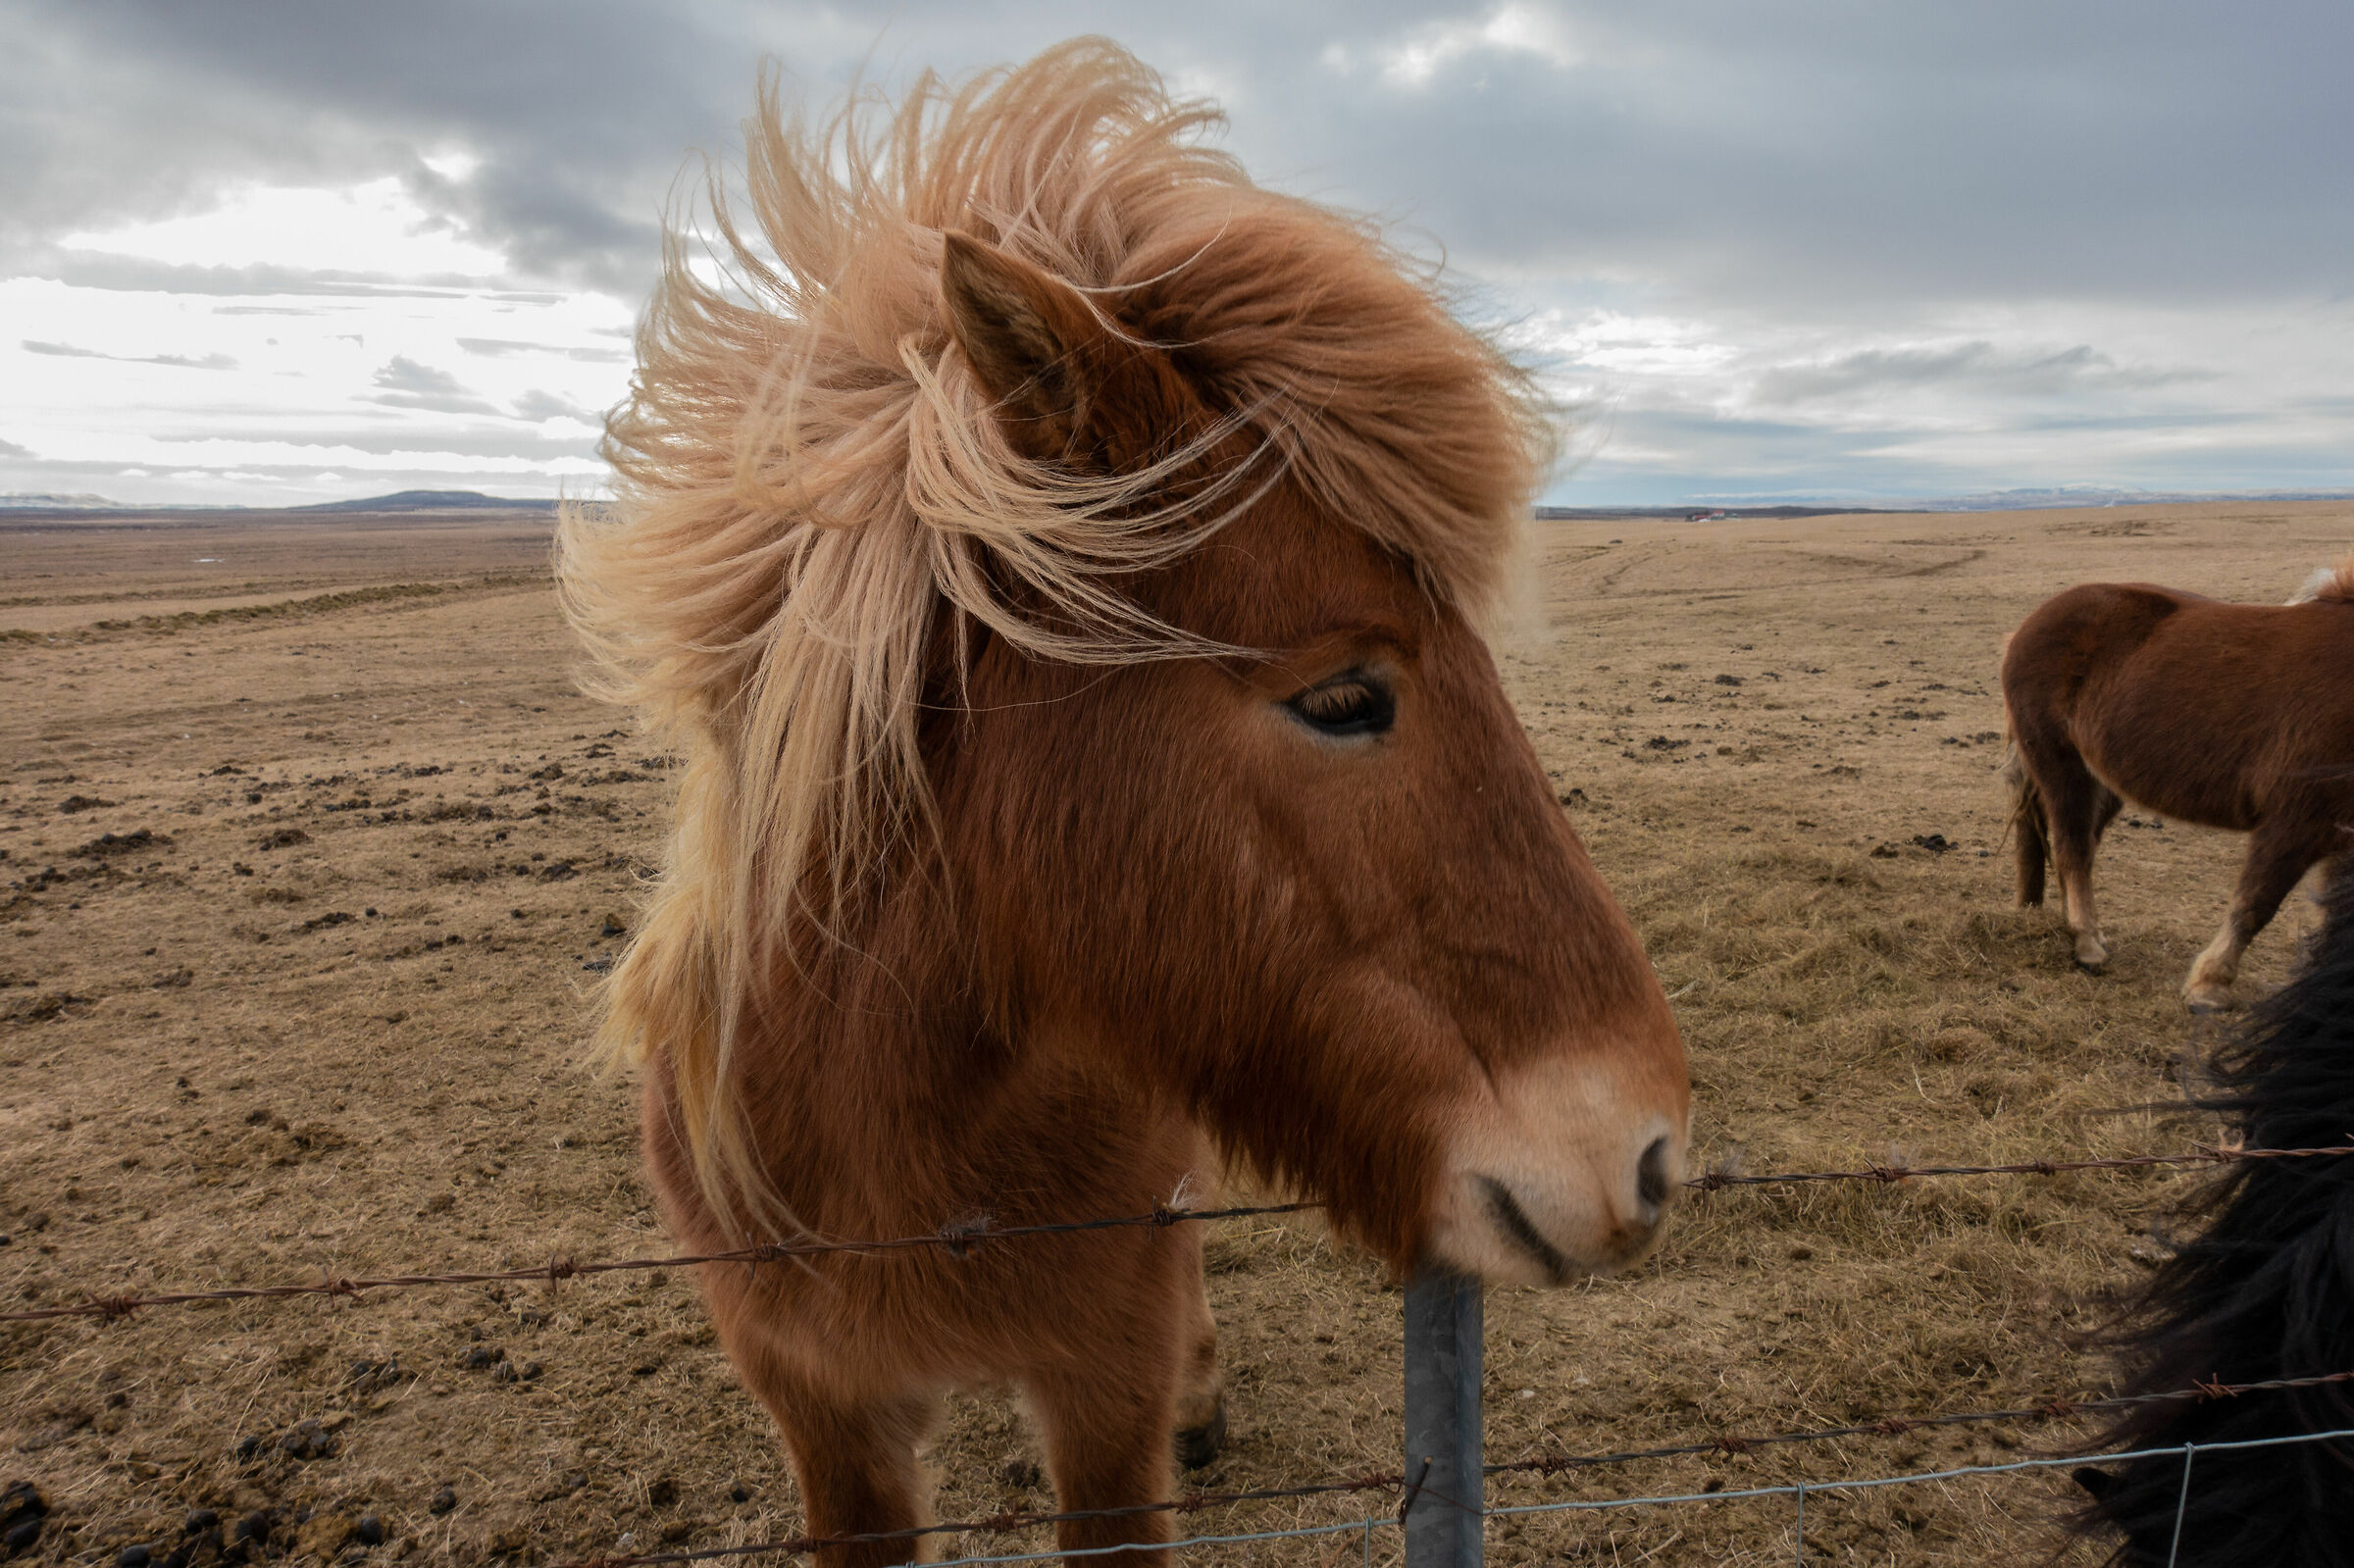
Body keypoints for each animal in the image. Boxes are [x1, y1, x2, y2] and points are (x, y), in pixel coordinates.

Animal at [2000, 560, 2354, 1009]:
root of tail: (2029, 625)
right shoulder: (2298, 819)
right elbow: (2255, 904)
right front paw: (2209, 987)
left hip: (2101, 780)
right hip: (2061, 767)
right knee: (2072, 848)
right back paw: (2087, 946)